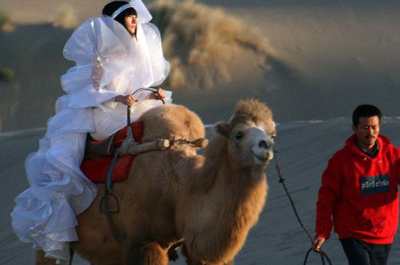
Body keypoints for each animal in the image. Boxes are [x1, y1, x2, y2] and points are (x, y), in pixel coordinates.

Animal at [36, 98, 276, 264]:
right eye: (238, 134)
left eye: (271, 133)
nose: (266, 145)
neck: (179, 189)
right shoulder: (144, 244)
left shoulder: (191, 245)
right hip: (50, 235)